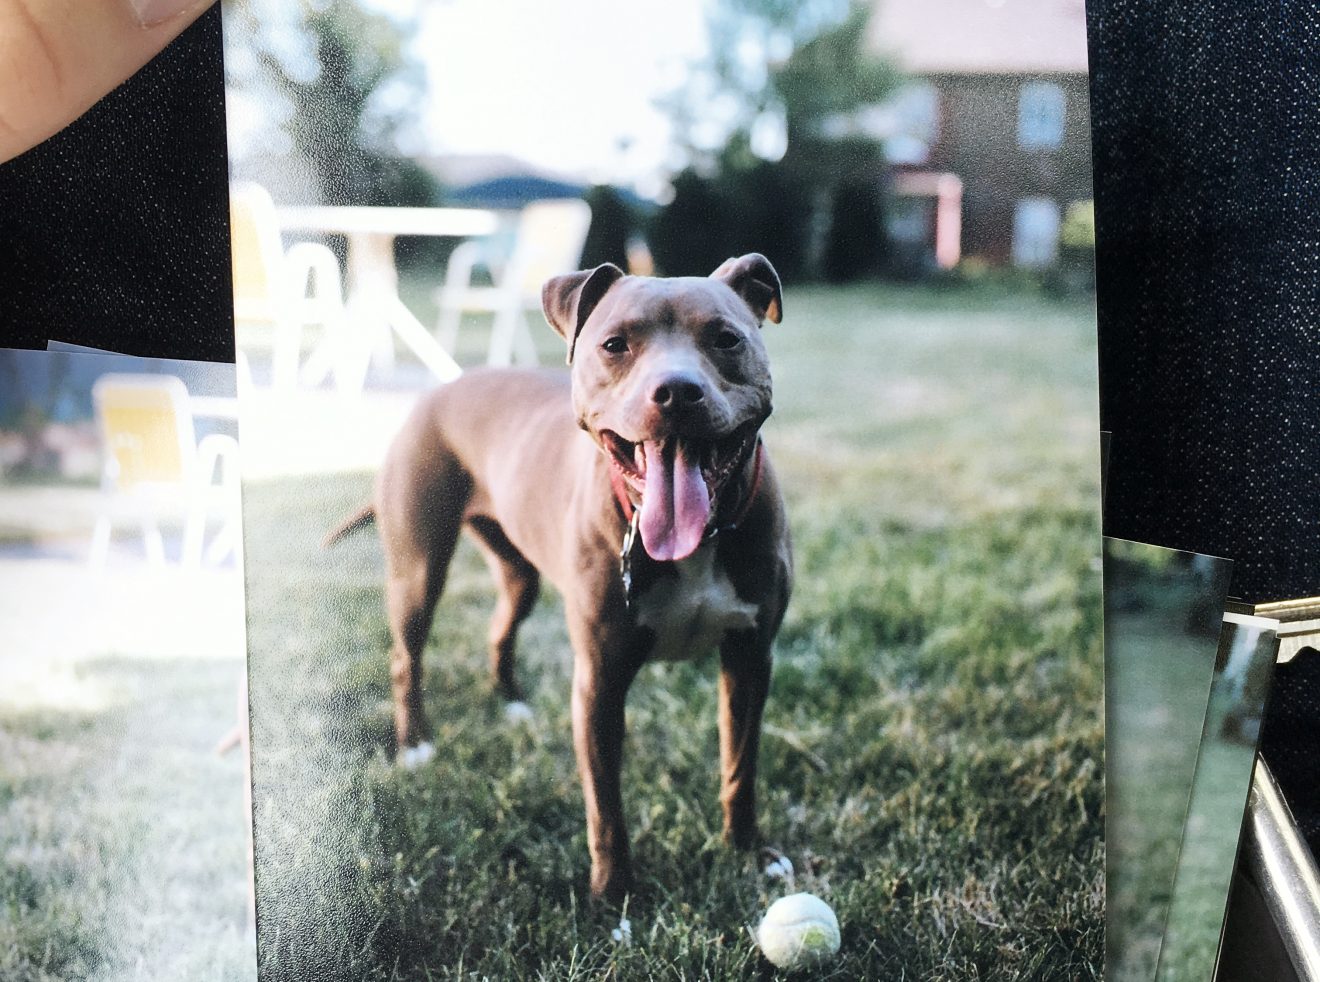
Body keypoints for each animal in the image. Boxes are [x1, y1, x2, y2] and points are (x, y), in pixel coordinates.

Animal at [330, 253, 792, 902]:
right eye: (615, 344)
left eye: (726, 339)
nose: (676, 390)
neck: (697, 539)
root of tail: (445, 386)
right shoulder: (600, 678)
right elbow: (605, 805)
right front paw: (614, 894)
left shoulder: (750, 659)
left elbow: (739, 766)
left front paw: (748, 853)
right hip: (419, 572)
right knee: (406, 658)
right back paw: (416, 743)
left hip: (518, 574)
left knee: (500, 629)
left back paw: (511, 704)